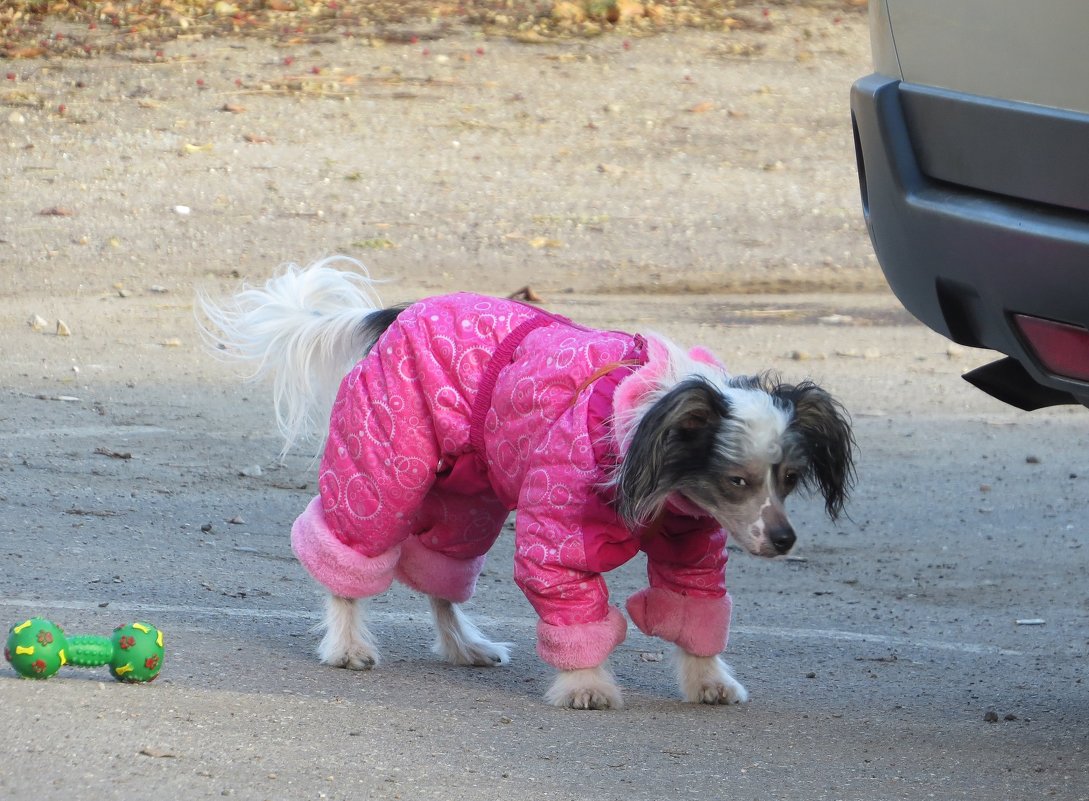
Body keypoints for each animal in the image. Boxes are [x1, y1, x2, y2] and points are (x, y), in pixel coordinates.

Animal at [200, 256, 853, 705]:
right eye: (737, 480)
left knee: (440, 575)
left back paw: (465, 646)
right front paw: (587, 684)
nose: (785, 540)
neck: (641, 437)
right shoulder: (556, 539)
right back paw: (347, 645)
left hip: (467, 500)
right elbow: (574, 611)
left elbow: (695, 609)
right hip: (383, 468)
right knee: (351, 558)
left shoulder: (690, 547)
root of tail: (401, 313)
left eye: (789, 477)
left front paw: (708, 679)